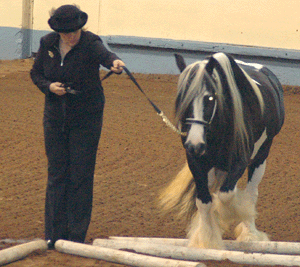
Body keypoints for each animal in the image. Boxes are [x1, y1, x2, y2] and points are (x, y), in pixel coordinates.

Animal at [159, 51, 284, 249]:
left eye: (210, 98)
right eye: (182, 98)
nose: (194, 143)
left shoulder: (240, 162)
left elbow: (226, 196)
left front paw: (226, 218)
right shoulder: (197, 162)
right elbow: (203, 201)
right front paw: (206, 240)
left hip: (260, 158)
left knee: (251, 194)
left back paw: (250, 235)